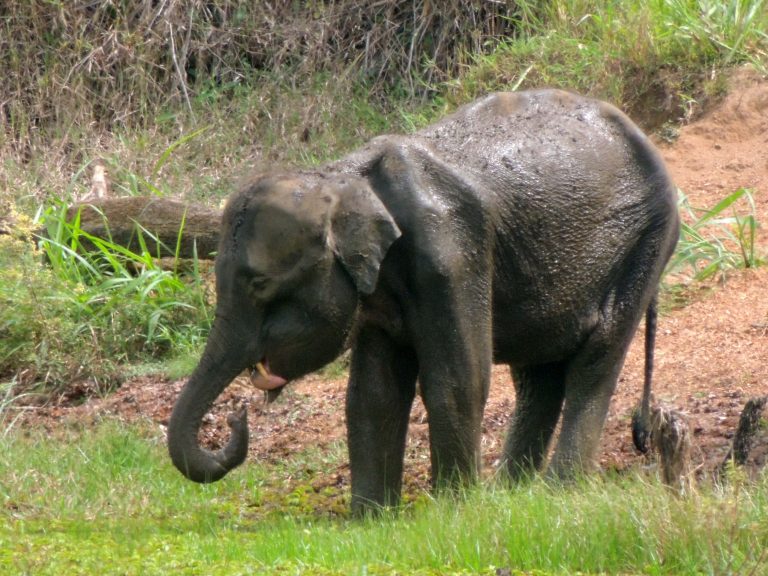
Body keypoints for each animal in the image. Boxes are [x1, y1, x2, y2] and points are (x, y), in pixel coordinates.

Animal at [168, 89, 680, 512]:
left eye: (259, 285)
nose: (237, 416)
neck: (340, 179)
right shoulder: (378, 293)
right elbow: (372, 394)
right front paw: (371, 520)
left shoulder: (451, 258)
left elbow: (458, 379)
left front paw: (454, 510)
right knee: (537, 375)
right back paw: (513, 495)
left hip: (646, 241)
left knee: (596, 359)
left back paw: (557, 490)